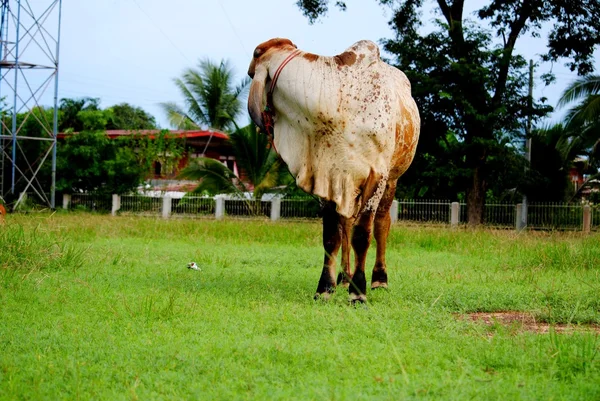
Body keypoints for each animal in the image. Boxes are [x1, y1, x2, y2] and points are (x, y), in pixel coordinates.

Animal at [246, 38, 420, 304]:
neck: (336, 105)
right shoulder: (325, 176)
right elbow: (331, 236)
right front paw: (325, 287)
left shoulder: (376, 177)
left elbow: (363, 234)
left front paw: (359, 291)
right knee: (345, 224)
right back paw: (344, 277)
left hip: (392, 179)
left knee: (381, 224)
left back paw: (379, 279)